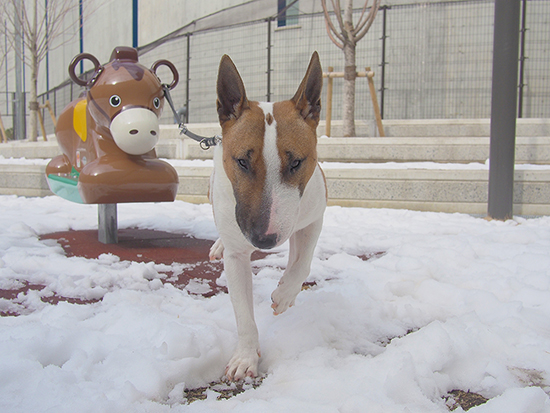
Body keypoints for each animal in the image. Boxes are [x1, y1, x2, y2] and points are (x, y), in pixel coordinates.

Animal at [209, 52, 326, 380]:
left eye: (296, 162)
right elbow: (243, 314)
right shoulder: (237, 255)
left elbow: (303, 262)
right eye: (242, 162)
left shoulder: (313, 217)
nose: (263, 239)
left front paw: (285, 294)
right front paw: (245, 358)